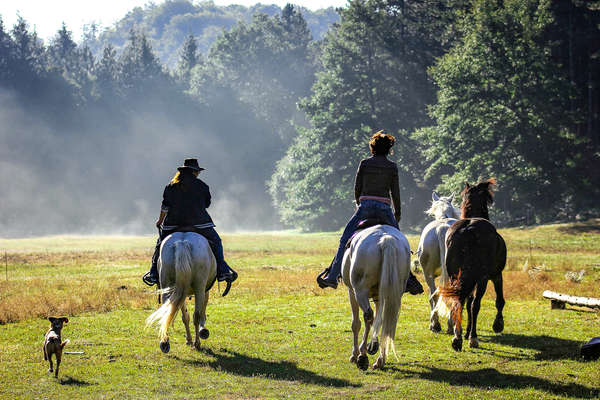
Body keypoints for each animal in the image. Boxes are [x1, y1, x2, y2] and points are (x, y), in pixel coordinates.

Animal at [340, 223, 410, 370]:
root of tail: (386, 239)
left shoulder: (351, 292)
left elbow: (356, 324)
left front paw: (356, 353)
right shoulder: (379, 296)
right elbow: (379, 320)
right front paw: (374, 347)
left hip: (360, 291)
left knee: (368, 316)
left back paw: (362, 356)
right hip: (393, 294)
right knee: (388, 322)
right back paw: (380, 360)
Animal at [436, 178, 506, 350]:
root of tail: (468, 229)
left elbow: (467, 303)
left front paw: (465, 332)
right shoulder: (496, 275)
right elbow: (499, 301)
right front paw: (498, 324)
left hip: (456, 276)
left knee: (460, 302)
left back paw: (457, 337)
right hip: (482, 279)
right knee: (475, 305)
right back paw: (473, 338)